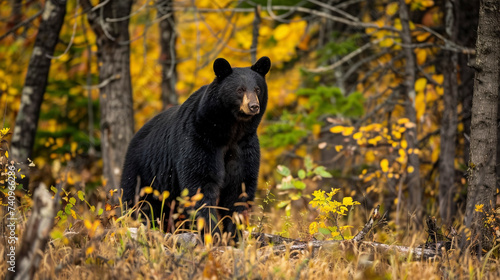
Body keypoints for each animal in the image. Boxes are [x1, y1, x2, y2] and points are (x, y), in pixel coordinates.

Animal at [119, 55, 272, 240]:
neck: (230, 131)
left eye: (257, 89)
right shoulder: (199, 140)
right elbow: (200, 184)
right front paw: (212, 234)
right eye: (240, 90)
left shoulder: (244, 147)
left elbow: (239, 187)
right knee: (138, 202)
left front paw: (234, 235)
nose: (253, 106)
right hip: (143, 172)